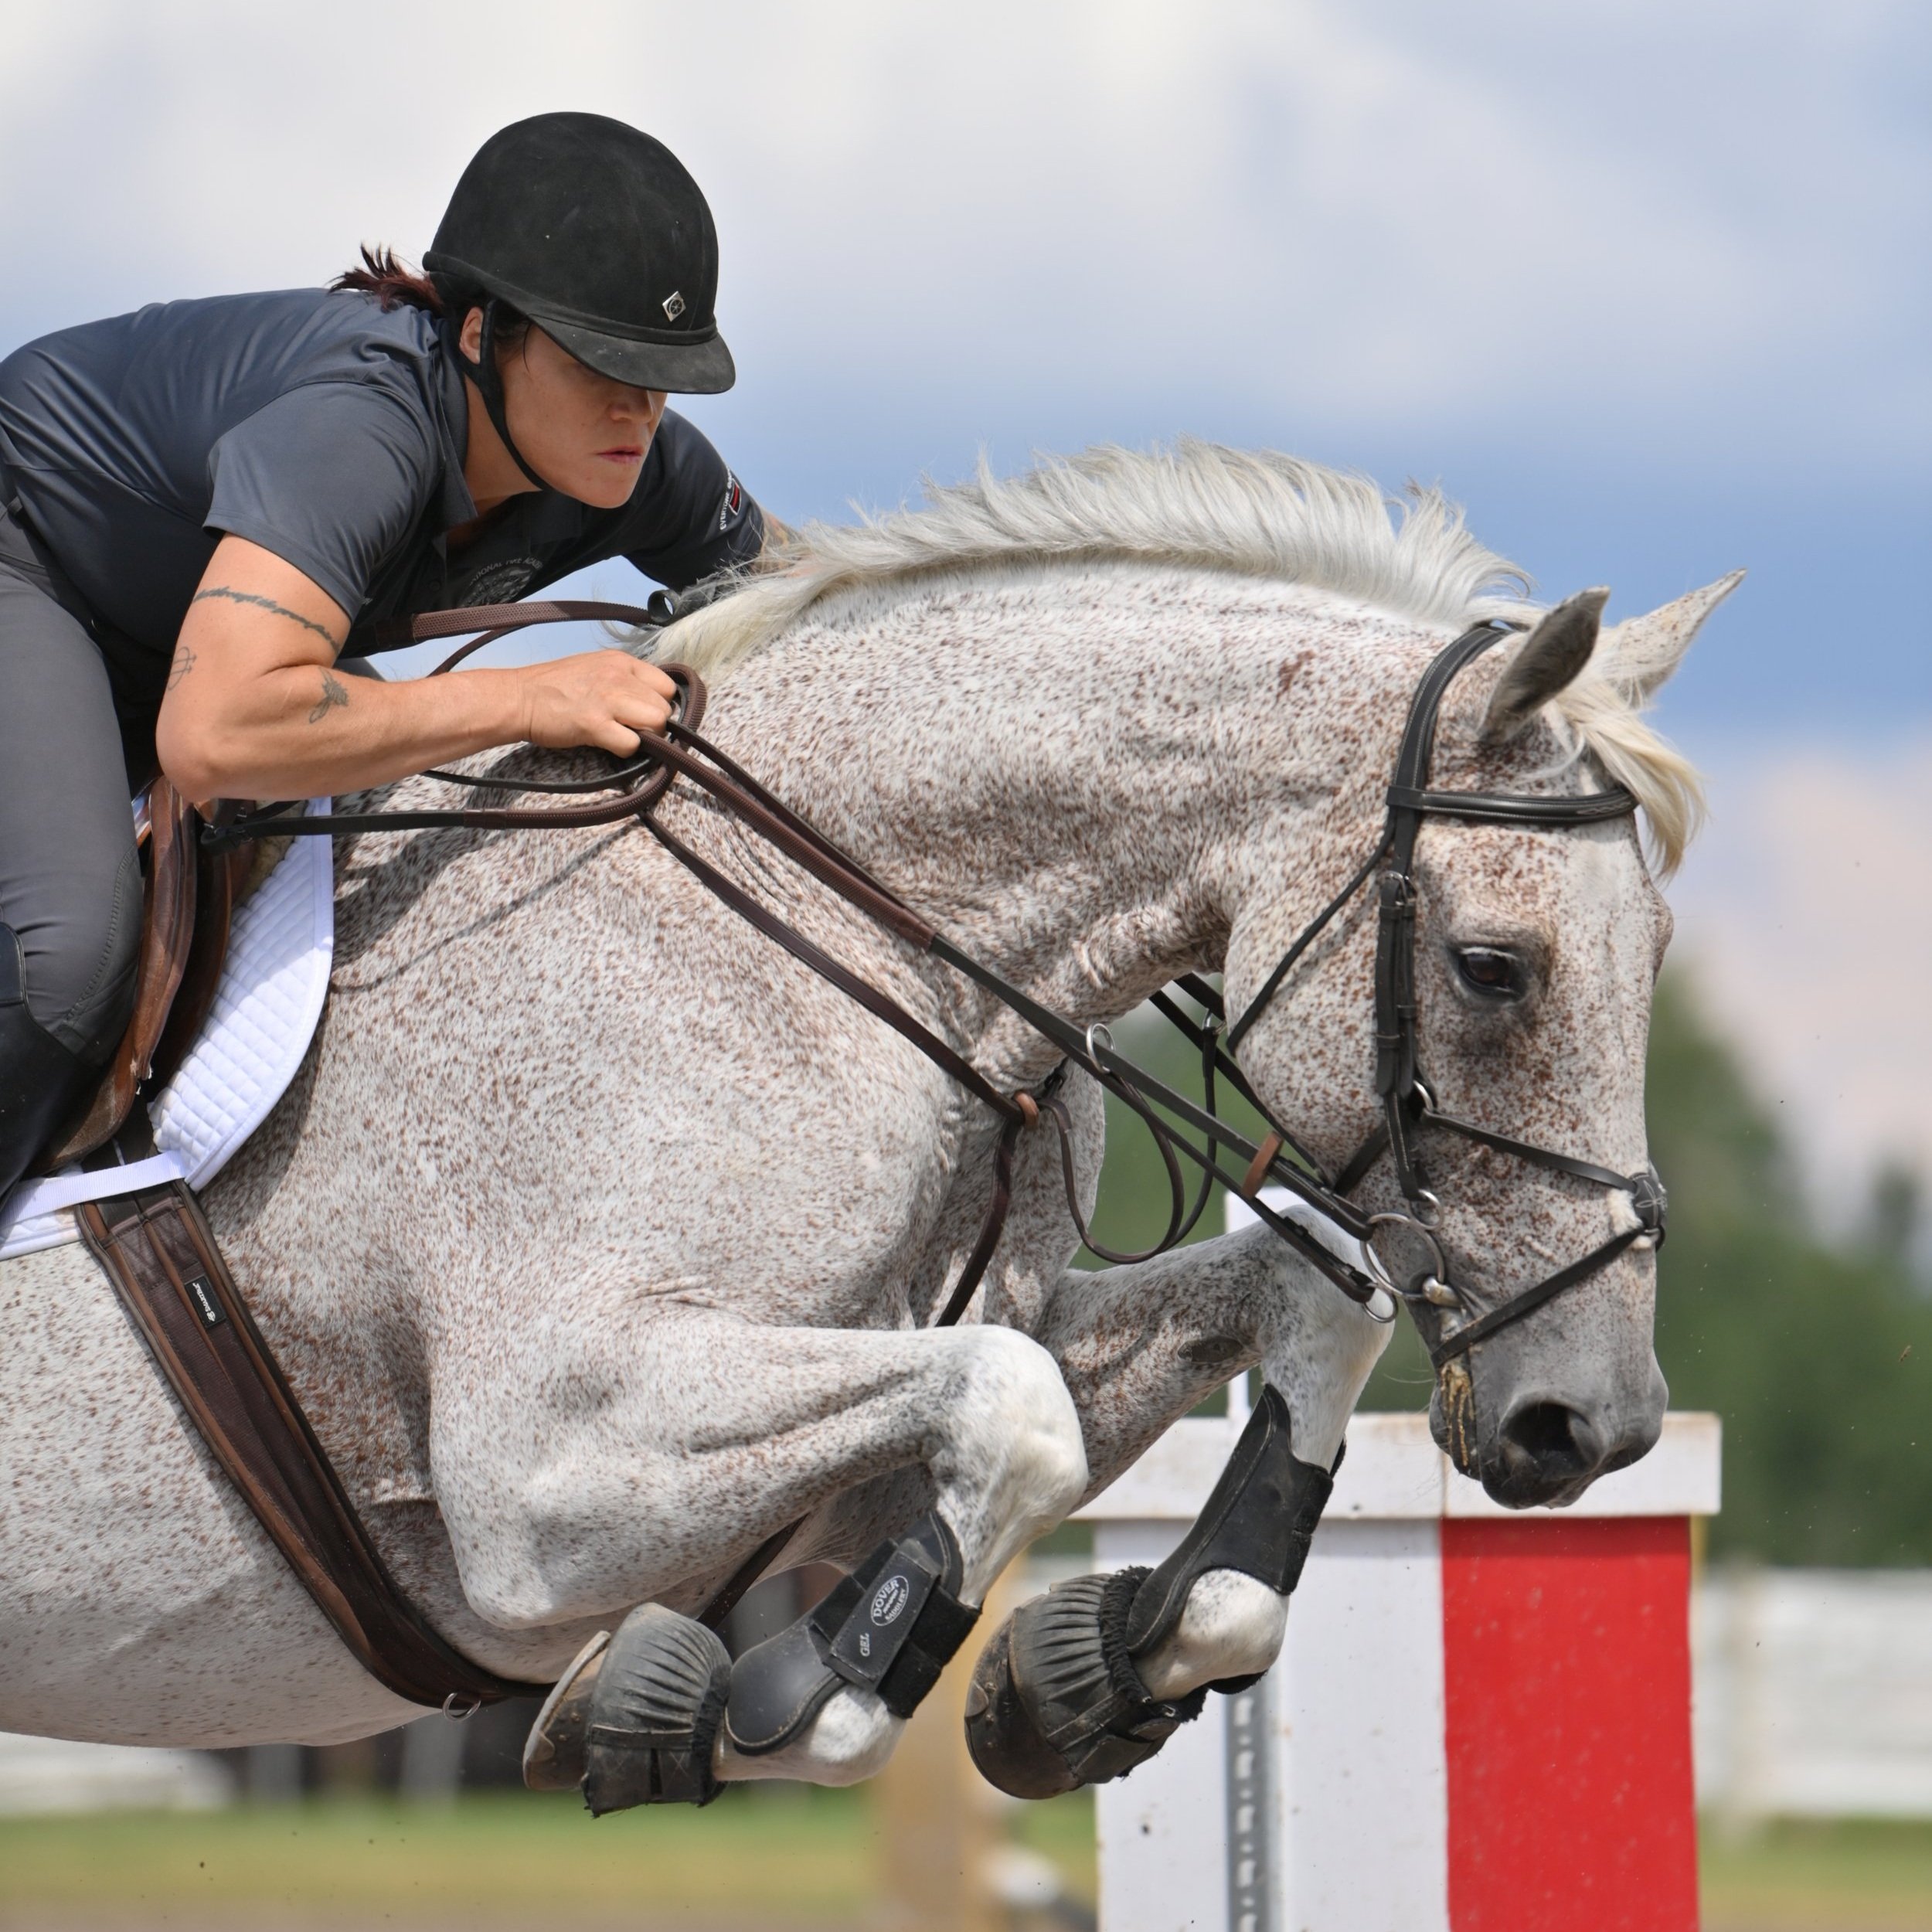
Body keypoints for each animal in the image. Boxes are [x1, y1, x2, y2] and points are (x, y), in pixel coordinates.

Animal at [0, 444, 1739, 1801]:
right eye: (1493, 967)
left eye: (1657, 949)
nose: (1590, 1425)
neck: (851, 931)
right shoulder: (544, 1467)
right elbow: (1009, 1409)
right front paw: (746, 1704)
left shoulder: (923, 1377)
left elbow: (1299, 1311)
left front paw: (1096, 1667)